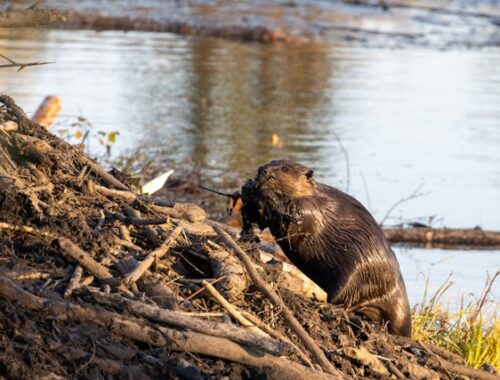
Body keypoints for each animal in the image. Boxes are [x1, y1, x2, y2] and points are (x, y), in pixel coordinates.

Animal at [241, 159, 410, 336]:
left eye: (285, 168)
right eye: (272, 162)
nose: (262, 170)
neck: (316, 196)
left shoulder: (311, 208)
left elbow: (292, 223)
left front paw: (265, 195)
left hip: (357, 273)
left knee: (344, 299)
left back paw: (320, 302)